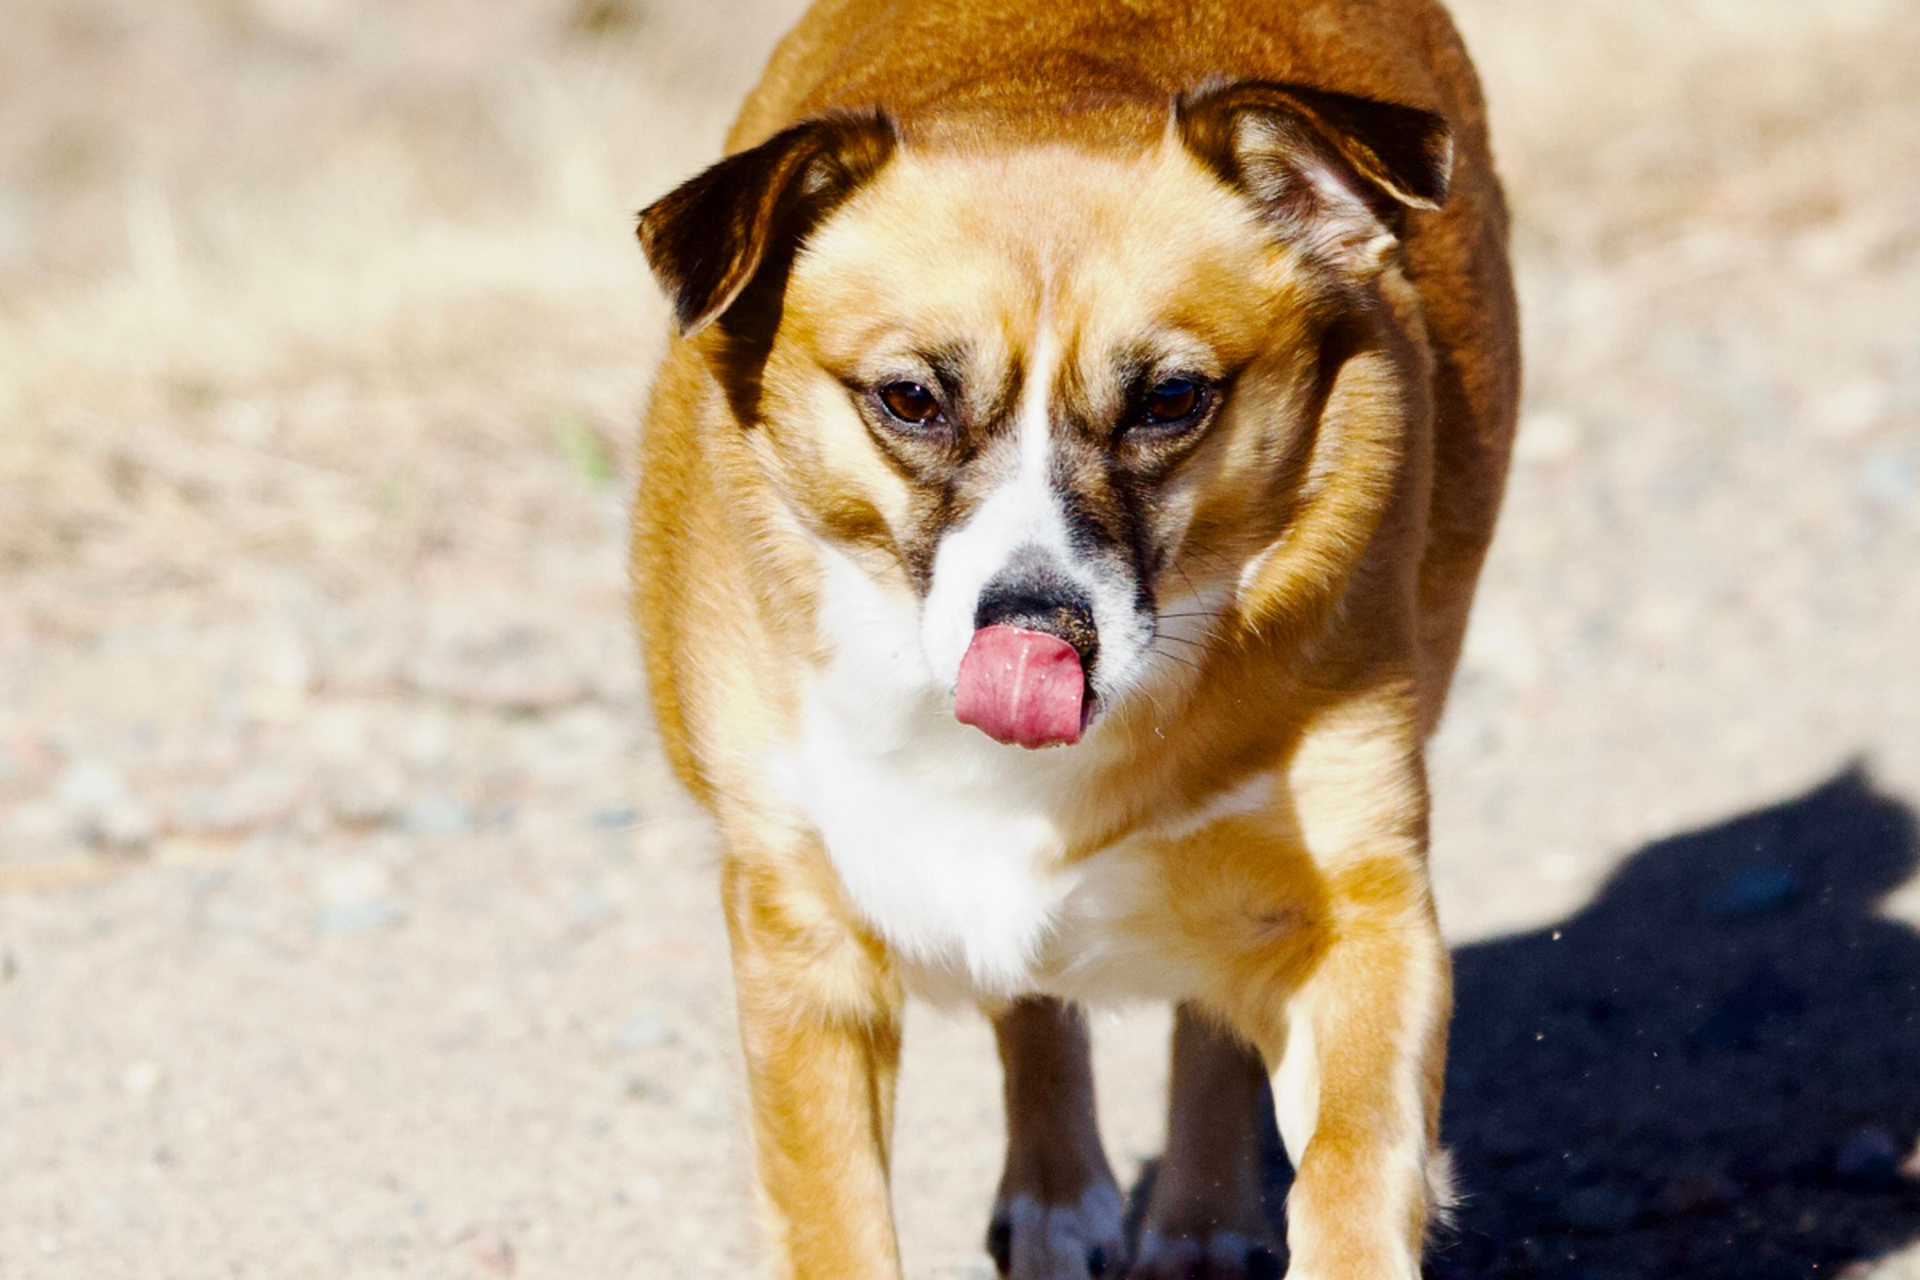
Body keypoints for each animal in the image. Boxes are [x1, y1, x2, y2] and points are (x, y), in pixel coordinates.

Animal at [629, 0, 1512, 1274]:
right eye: (909, 398)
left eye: (1171, 399)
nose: (1040, 624)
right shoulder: (804, 942)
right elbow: (836, 1212)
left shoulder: (1362, 907)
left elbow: (1352, 1158)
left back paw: (1195, 1222)